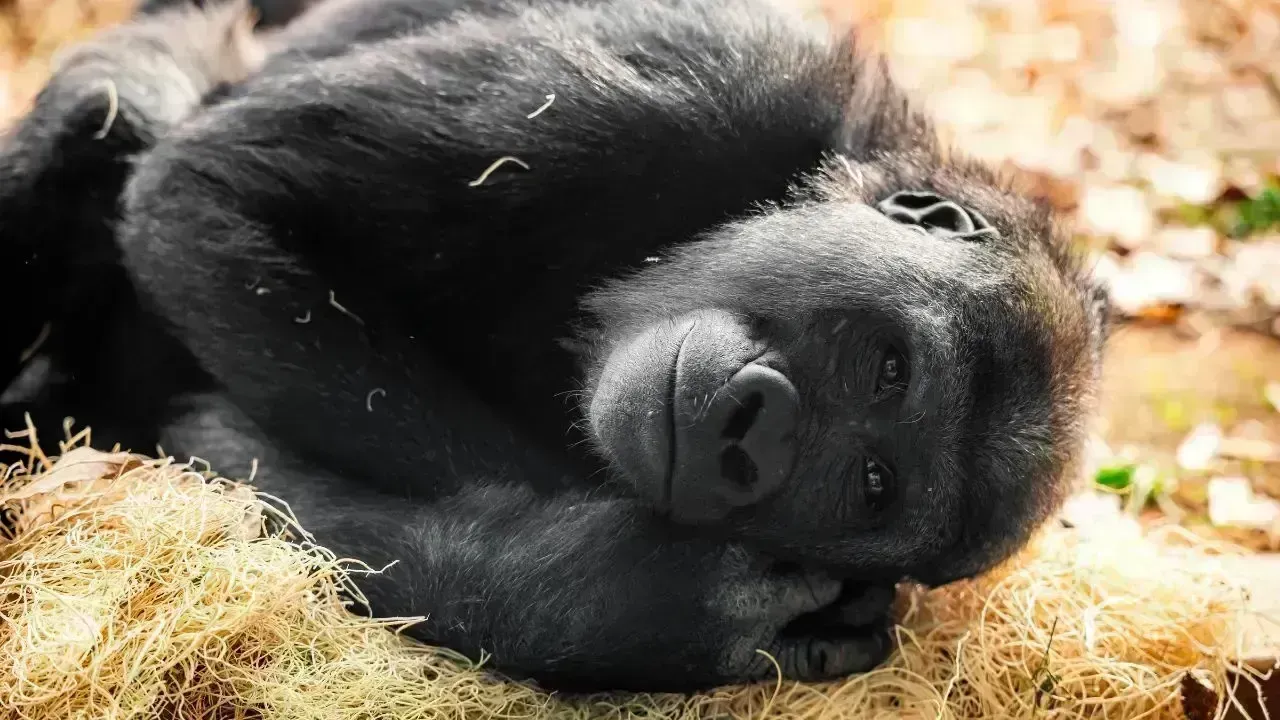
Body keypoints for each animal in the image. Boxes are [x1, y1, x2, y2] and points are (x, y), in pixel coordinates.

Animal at [0, 0, 1111, 693]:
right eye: (888, 367)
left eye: (871, 486)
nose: (755, 439)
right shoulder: (707, 84)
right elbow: (209, 192)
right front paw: (623, 590)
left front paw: (595, 603)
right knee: (121, 107)